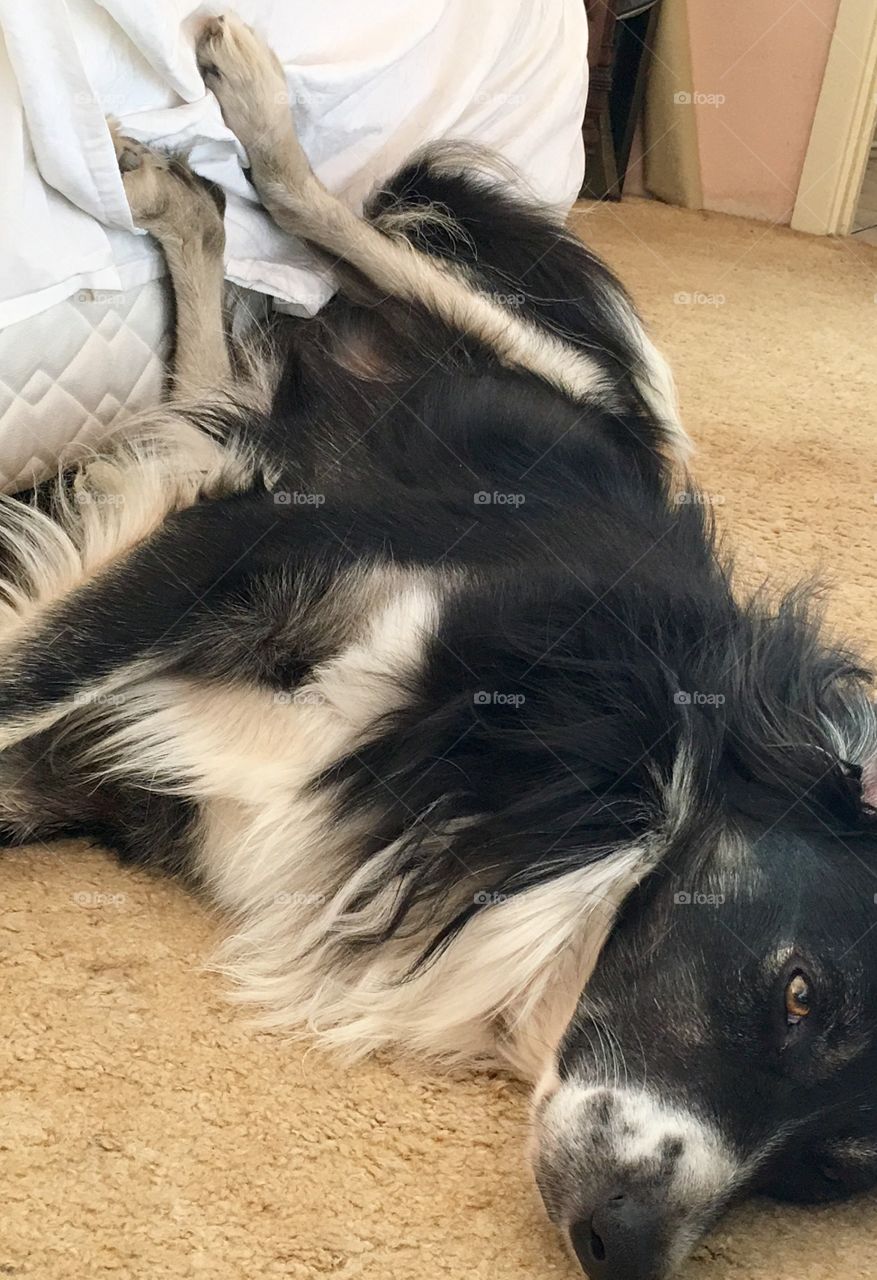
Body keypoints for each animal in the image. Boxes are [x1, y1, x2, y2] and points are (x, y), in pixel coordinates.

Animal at [1, 12, 875, 1280]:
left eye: (828, 1171)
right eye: (802, 993)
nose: (624, 1244)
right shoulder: (259, 542)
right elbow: (27, 671)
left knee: (207, 382)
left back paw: (182, 198)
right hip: (538, 404)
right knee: (359, 245)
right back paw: (244, 117)